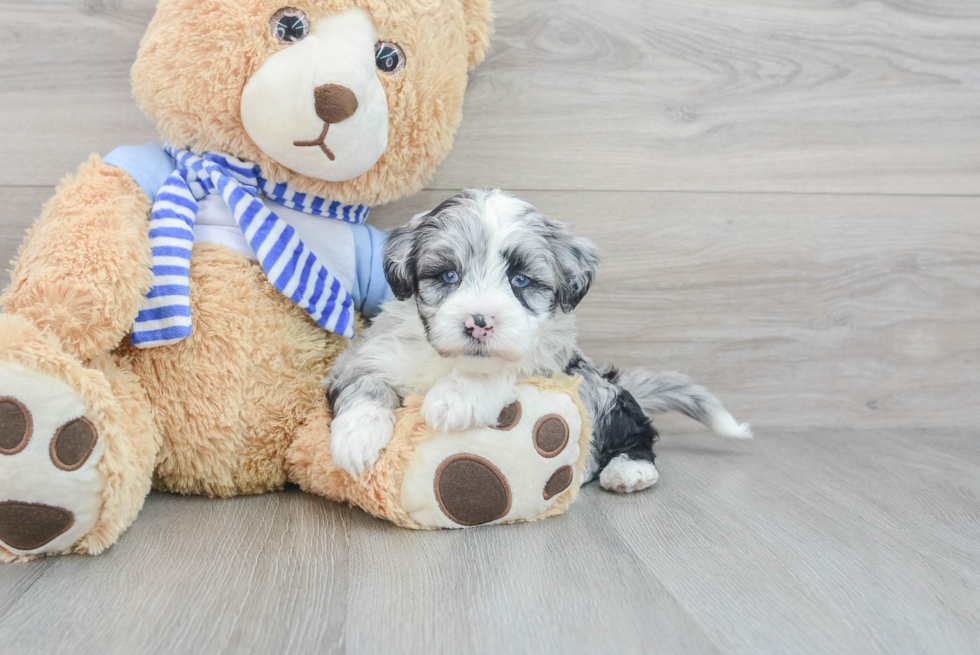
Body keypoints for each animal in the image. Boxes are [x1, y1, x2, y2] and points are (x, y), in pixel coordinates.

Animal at [324, 190, 752, 492]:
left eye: (521, 280)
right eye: (447, 276)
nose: (479, 323)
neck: (453, 363)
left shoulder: (554, 360)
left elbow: (513, 363)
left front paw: (456, 397)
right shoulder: (364, 358)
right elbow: (366, 384)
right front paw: (356, 439)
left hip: (599, 389)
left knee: (635, 429)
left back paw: (629, 471)